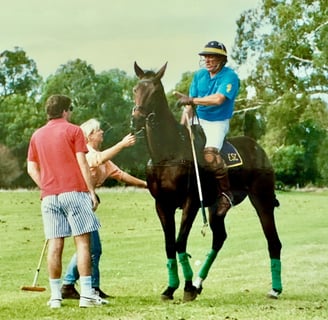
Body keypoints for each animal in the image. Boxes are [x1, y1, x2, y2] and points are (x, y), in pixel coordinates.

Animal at [131, 62, 282, 302]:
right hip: (214, 208)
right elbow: (169, 244)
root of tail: (258, 147)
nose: (136, 119)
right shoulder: (162, 204)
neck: (168, 154)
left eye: (154, 91)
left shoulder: (191, 202)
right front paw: (171, 288)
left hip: (262, 199)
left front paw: (186, 288)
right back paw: (199, 283)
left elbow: (180, 242)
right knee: (219, 237)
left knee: (273, 241)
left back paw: (275, 289)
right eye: (136, 89)